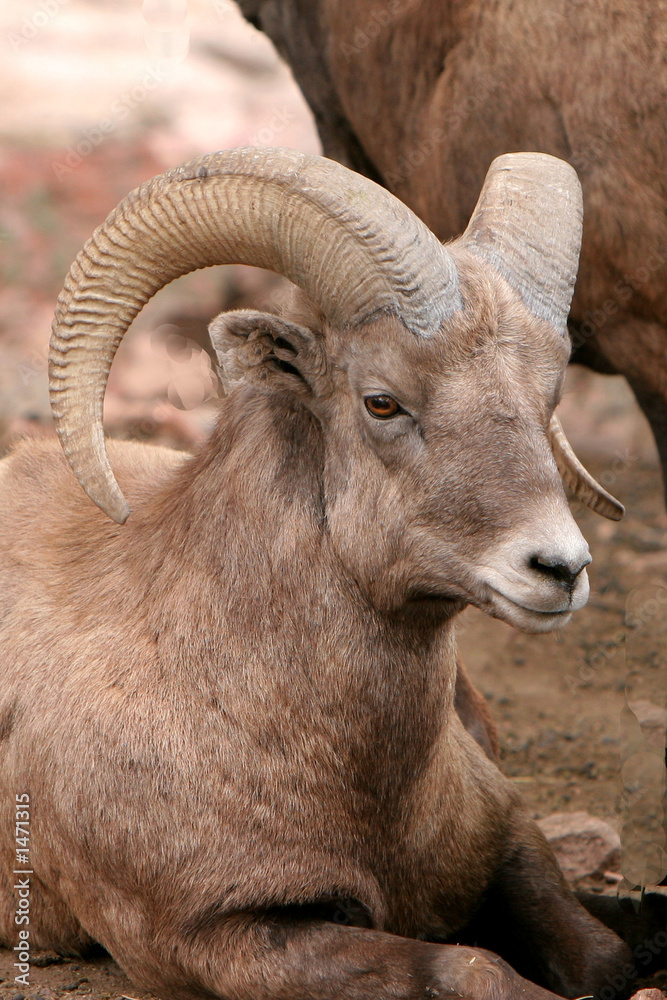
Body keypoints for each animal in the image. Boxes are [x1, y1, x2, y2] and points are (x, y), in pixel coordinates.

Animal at [1, 148, 648, 1000]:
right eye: (381, 402)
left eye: (550, 397)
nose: (558, 568)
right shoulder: (218, 938)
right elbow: (474, 967)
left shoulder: (508, 836)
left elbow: (605, 958)